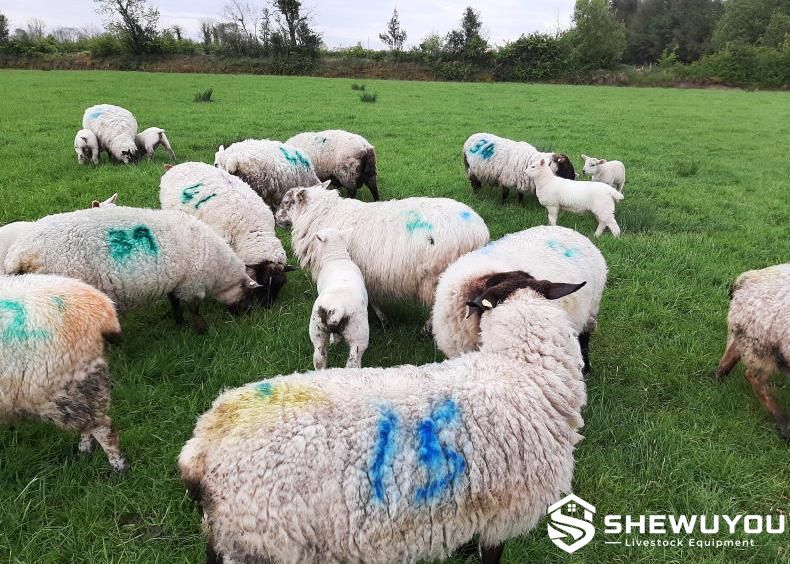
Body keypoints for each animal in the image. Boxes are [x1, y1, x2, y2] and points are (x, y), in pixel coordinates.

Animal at [1, 274, 128, 471]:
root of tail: (103, 307)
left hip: (63, 386)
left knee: (104, 428)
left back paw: (118, 466)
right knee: (90, 424)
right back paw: (85, 449)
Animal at [3, 206, 260, 333]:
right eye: (248, 296)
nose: (247, 317)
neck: (219, 269)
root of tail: (20, 253)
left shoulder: (176, 282)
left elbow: (174, 303)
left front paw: (179, 324)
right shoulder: (192, 283)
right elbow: (194, 309)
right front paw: (202, 331)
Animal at [275, 182, 490, 330]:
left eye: (285, 202)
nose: (276, 219)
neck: (320, 216)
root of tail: (480, 231)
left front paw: (381, 318)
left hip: (439, 277)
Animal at [714, 264, 790, 440]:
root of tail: (746, 279)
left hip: (748, 335)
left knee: (732, 353)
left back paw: (718, 377)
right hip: (761, 344)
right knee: (753, 377)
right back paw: (784, 424)